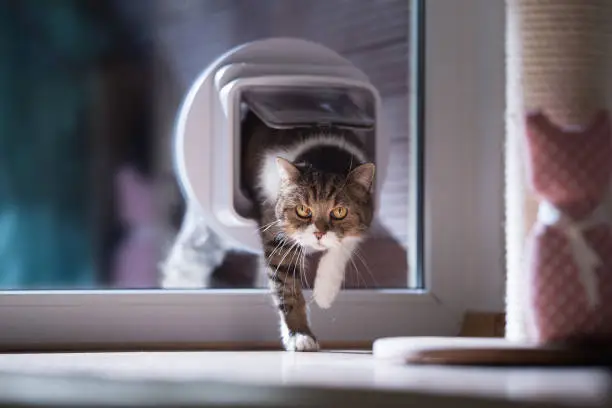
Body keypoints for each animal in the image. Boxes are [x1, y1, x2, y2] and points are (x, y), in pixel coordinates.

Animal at [160, 111, 376, 350]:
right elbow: (287, 287)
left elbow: (343, 246)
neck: (325, 156)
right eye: (303, 210)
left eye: (339, 212)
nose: (318, 233)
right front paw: (299, 334)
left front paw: (324, 293)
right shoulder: (276, 232)